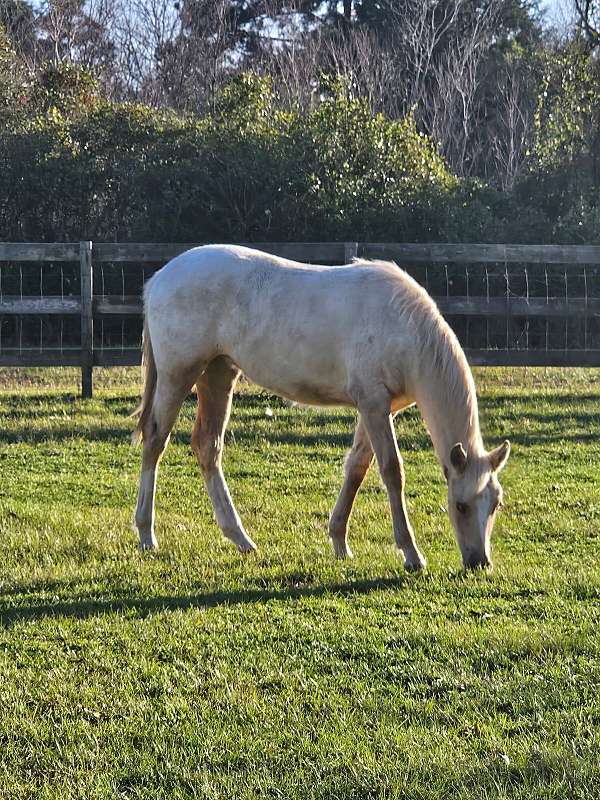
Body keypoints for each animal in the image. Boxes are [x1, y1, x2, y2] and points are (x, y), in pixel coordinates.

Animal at [132, 244, 510, 568]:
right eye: (461, 505)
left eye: (495, 503)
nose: (479, 562)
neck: (404, 328)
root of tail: (160, 278)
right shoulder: (373, 404)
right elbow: (391, 471)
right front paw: (410, 553)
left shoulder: (378, 408)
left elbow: (357, 468)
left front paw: (339, 541)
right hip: (178, 374)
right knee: (156, 440)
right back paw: (147, 534)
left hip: (218, 373)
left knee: (208, 447)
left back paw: (240, 538)